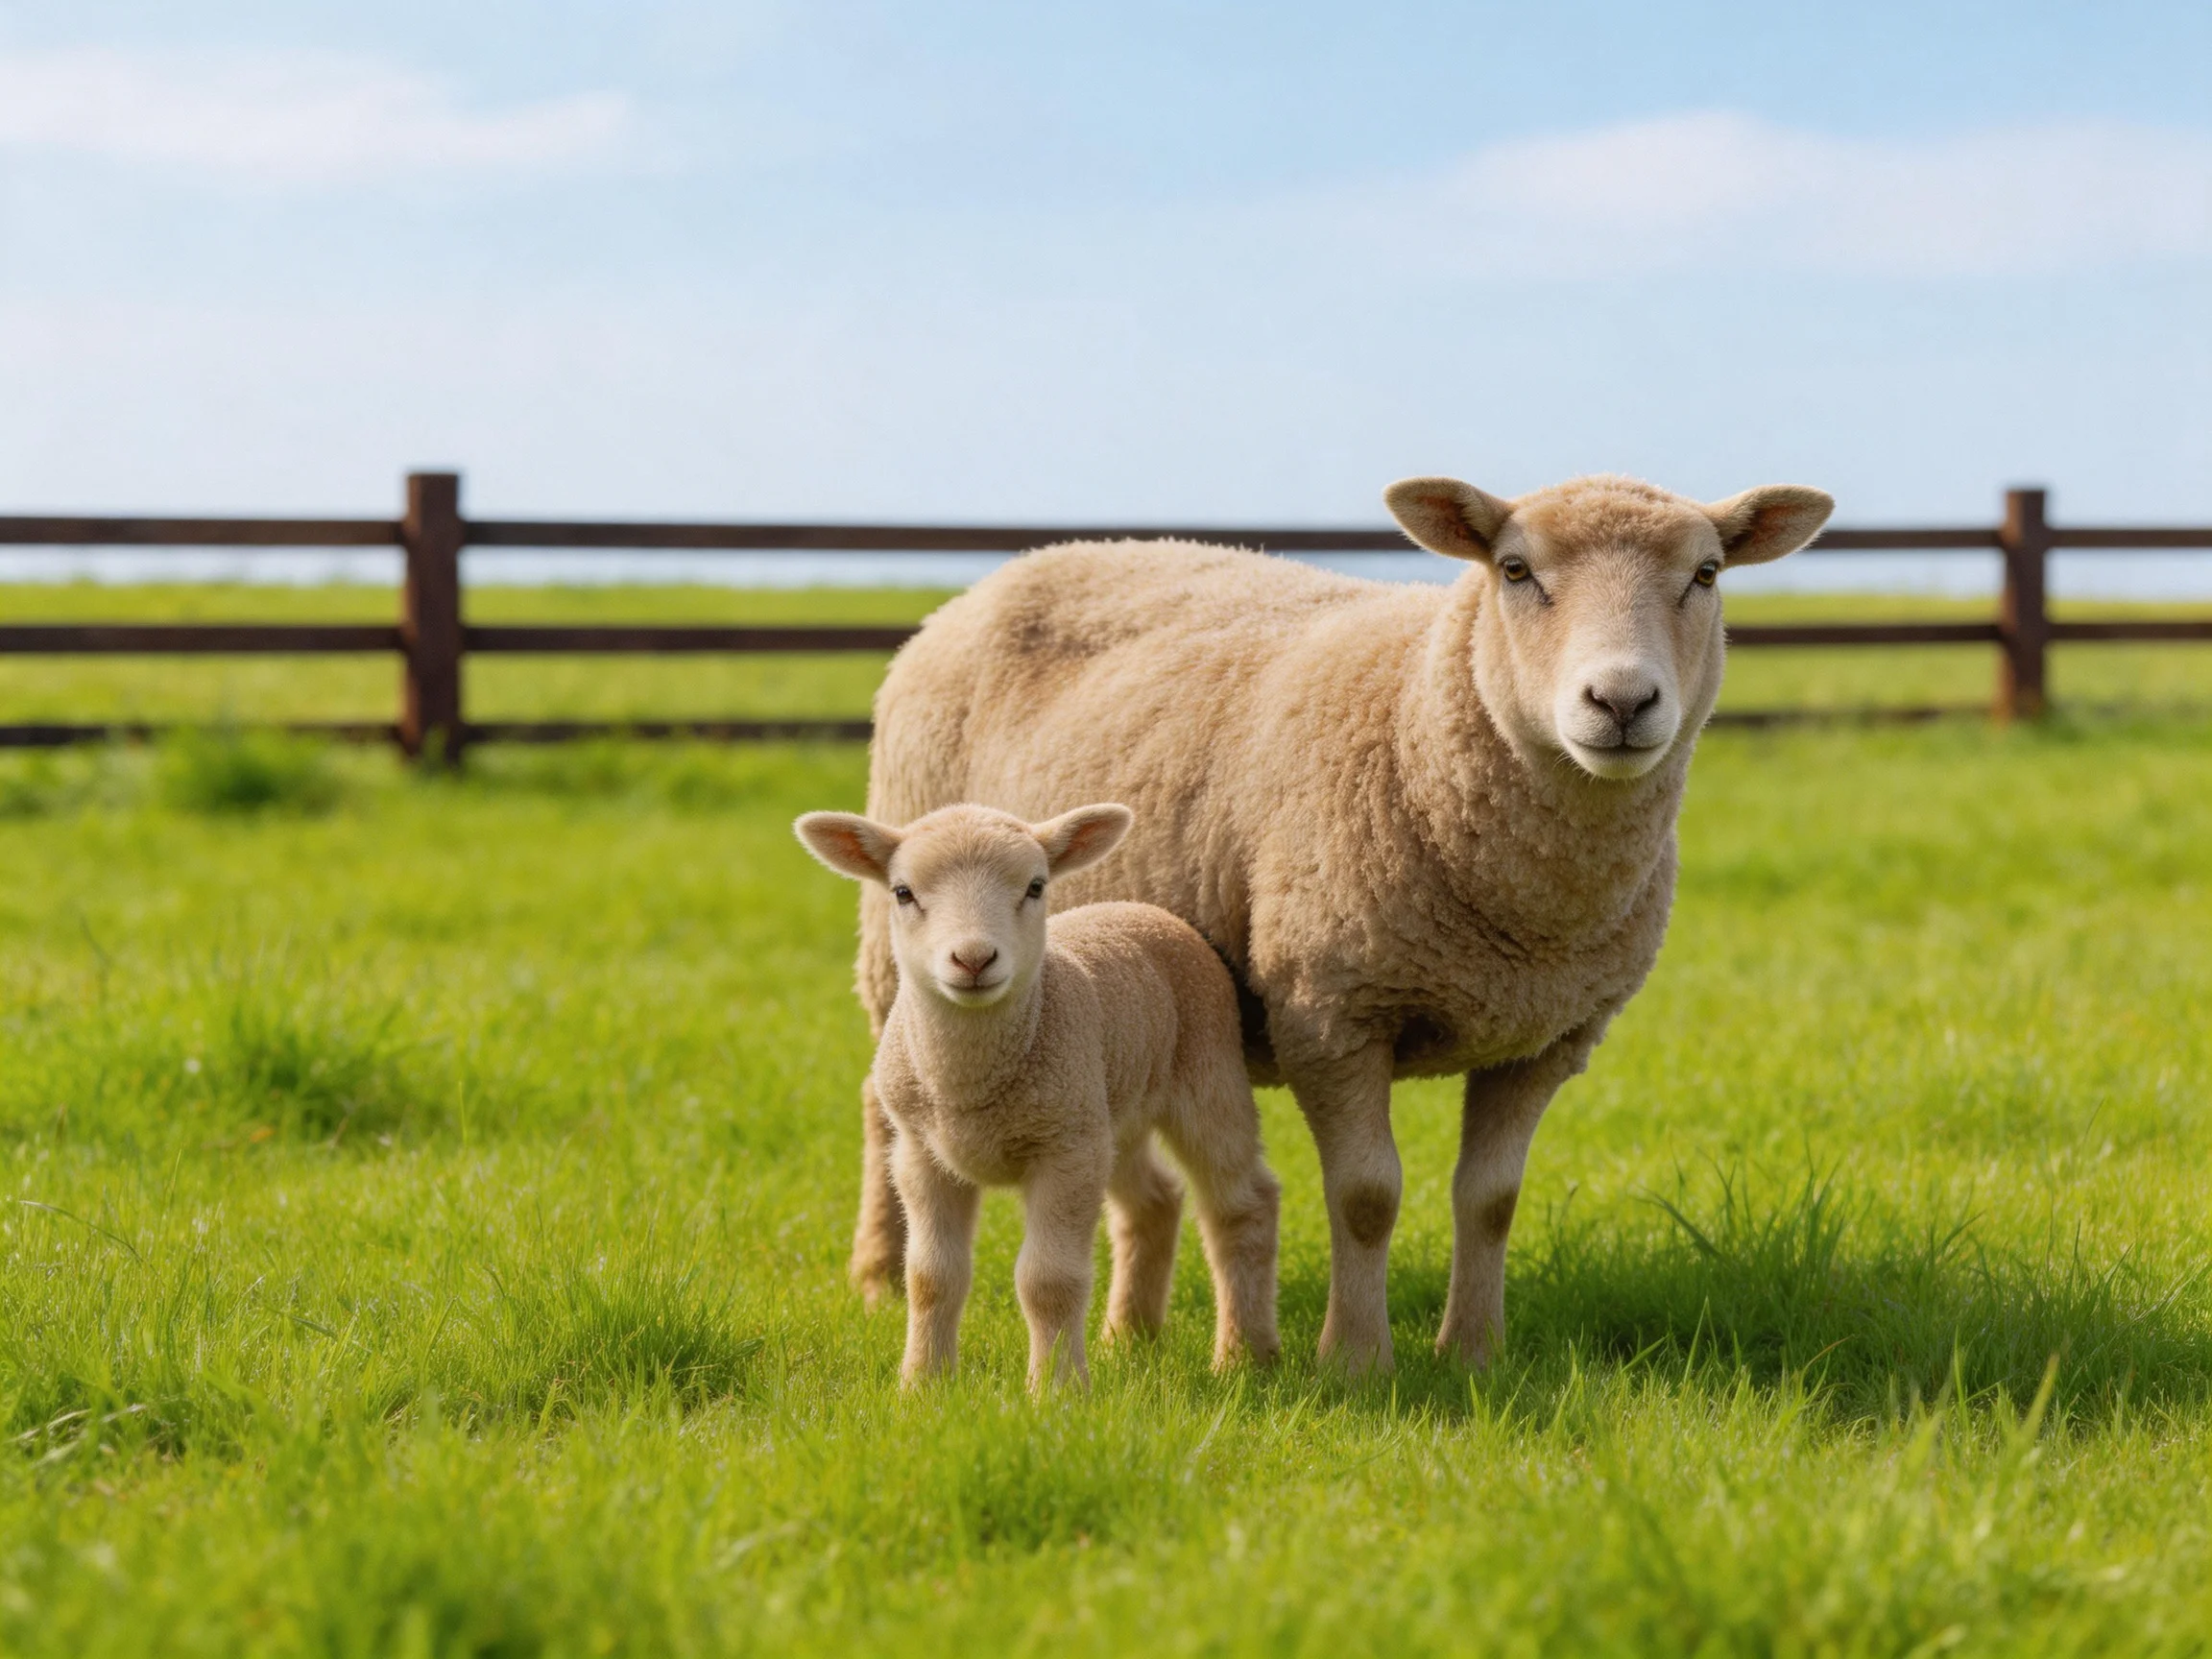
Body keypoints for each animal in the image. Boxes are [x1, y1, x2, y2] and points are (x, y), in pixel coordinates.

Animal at [795, 800, 1282, 1392]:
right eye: (902, 892)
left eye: (1035, 886)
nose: (974, 959)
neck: (967, 1086)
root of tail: (1144, 910)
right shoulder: (920, 1153)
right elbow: (931, 1276)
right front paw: (922, 1385)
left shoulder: (1064, 1152)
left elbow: (1048, 1281)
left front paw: (1056, 1391)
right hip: (1108, 1111)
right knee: (1155, 1199)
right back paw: (1129, 1339)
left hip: (1205, 1077)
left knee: (1243, 1204)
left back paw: (1245, 1357)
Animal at [843, 472, 1833, 1372]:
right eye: (1515, 569)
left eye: (1706, 573)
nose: (1621, 703)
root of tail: (1021, 565)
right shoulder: (1330, 1011)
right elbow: (1366, 1196)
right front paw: (1356, 1359)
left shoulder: (1547, 1040)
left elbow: (1491, 1201)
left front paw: (1474, 1353)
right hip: (899, 955)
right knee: (883, 1111)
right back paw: (881, 1276)